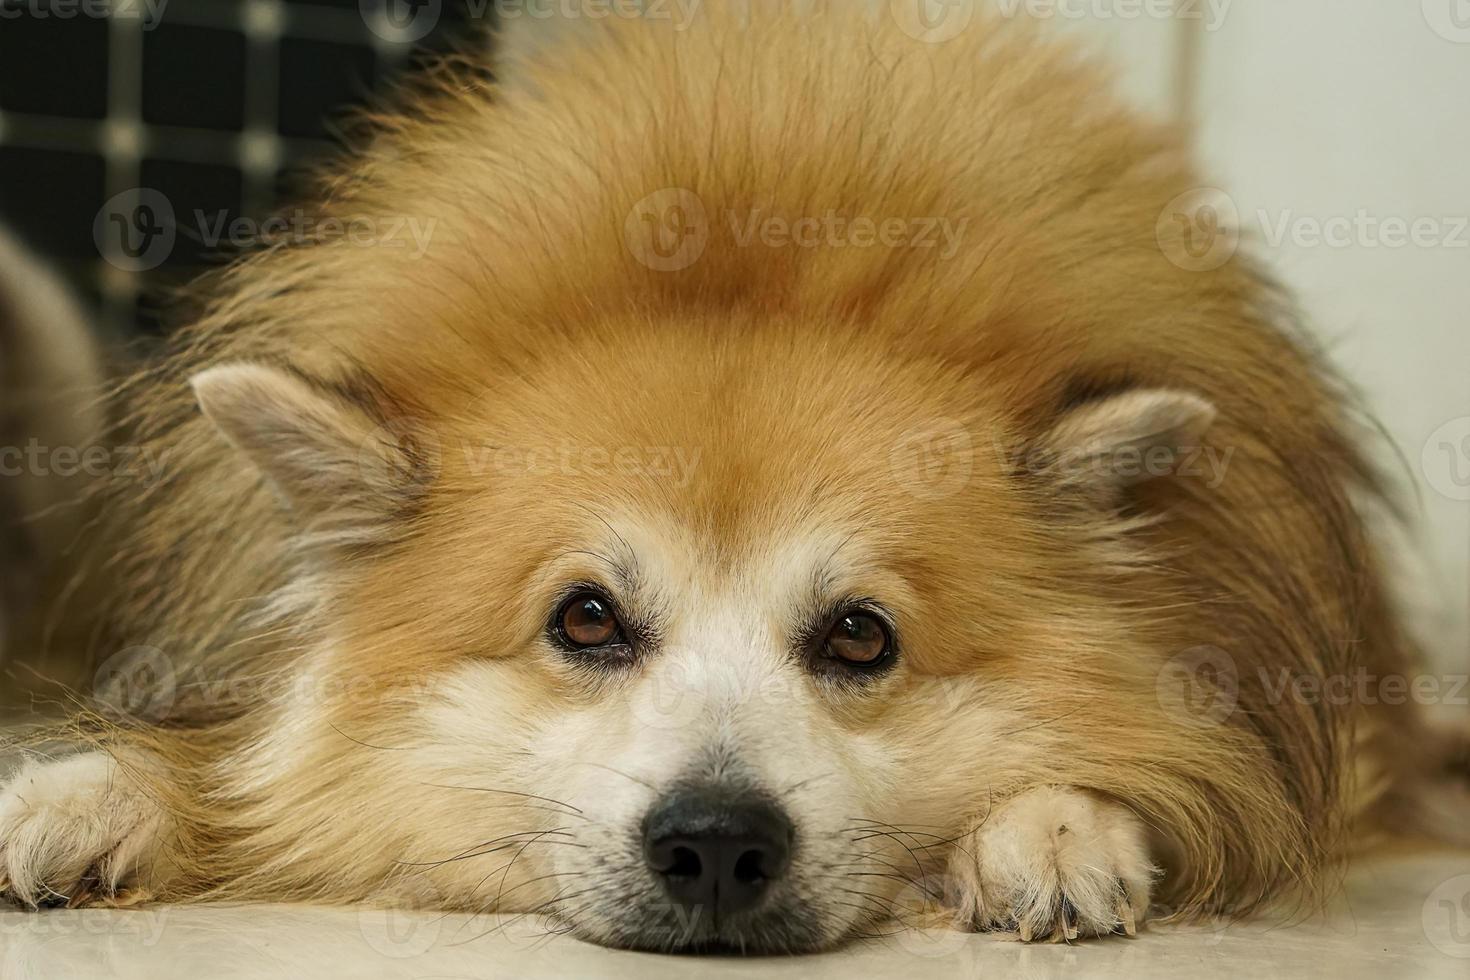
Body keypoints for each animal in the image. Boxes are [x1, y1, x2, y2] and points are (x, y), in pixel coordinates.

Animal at [0, 0, 1458, 952]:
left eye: (862, 636)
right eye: (585, 618)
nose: (712, 842)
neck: (748, 238)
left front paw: (1056, 828)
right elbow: (228, 765)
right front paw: (85, 793)